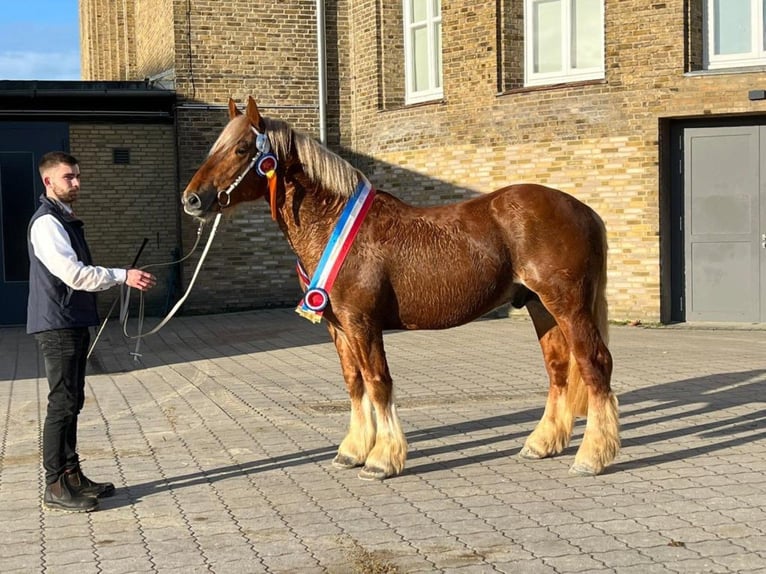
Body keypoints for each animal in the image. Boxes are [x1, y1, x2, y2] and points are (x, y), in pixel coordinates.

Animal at [183, 95, 620, 482]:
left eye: (242, 148)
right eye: (215, 146)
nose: (192, 200)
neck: (334, 224)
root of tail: (584, 210)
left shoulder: (362, 323)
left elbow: (378, 383)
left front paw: (382, 459)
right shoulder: (338, 328)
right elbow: (354, 383)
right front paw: (353, 450)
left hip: (568, 305)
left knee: (594, 364)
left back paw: (592, 456)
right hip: (539, 306)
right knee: (558, 369)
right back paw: (541, 443)